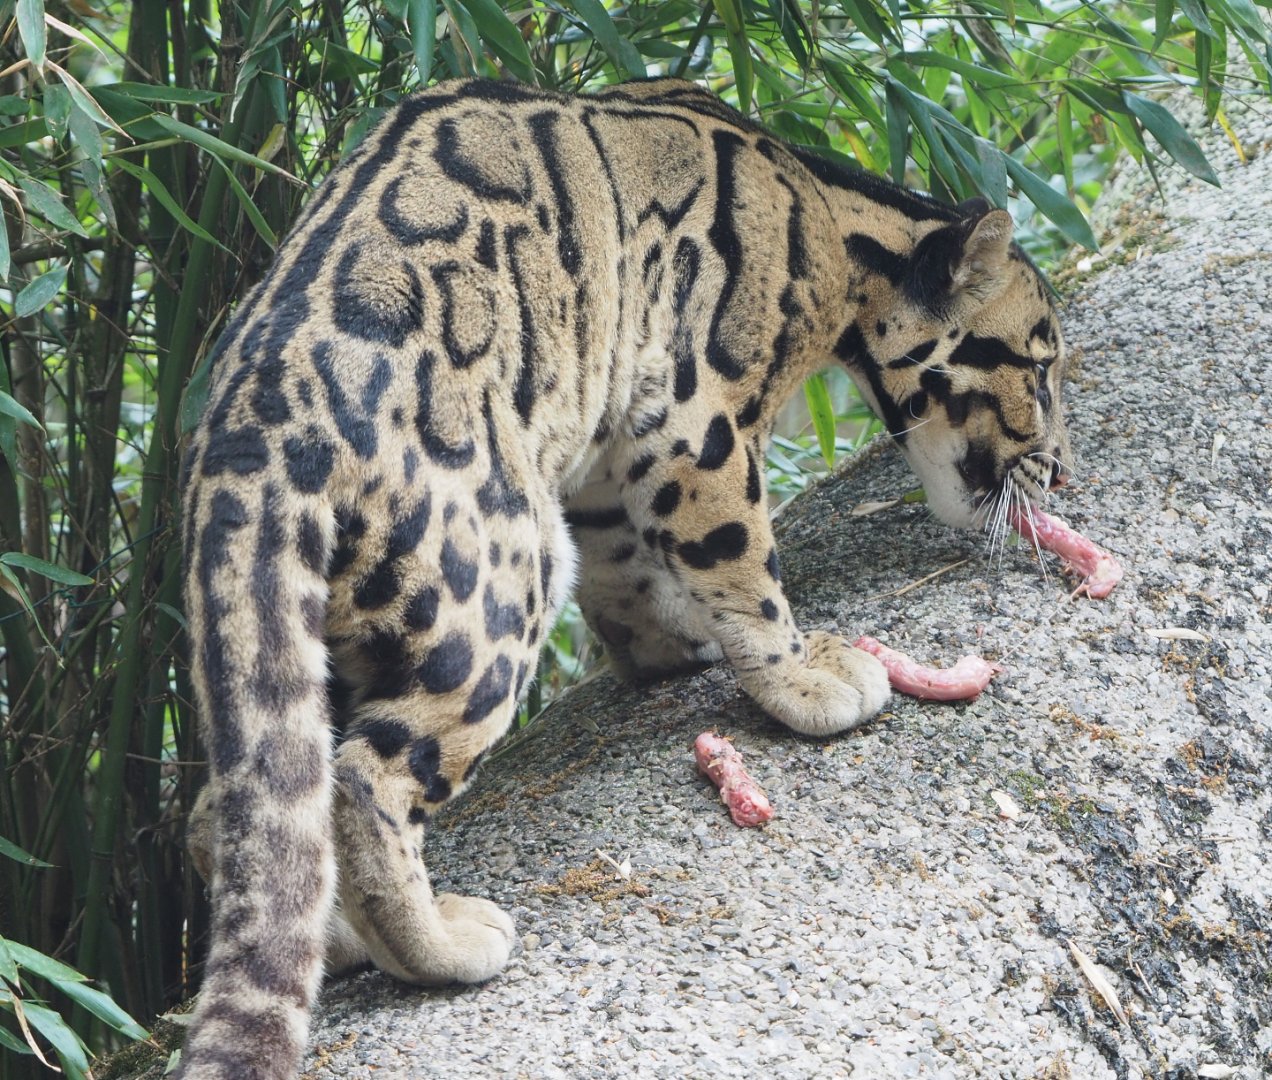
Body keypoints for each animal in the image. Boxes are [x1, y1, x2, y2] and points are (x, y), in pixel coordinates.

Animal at [176, 76, 1071, 1080]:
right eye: (1040, 366)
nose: (1059, 473)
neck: (830, 223)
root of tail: (248, 442)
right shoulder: (697, 416)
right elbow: (741, 559)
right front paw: (802, 678)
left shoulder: (609, 448)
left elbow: (628, 570)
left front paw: (668, 643)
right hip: (502, 578)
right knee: (365, 782)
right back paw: (440, 945)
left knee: (240, 810)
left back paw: (333, 937)